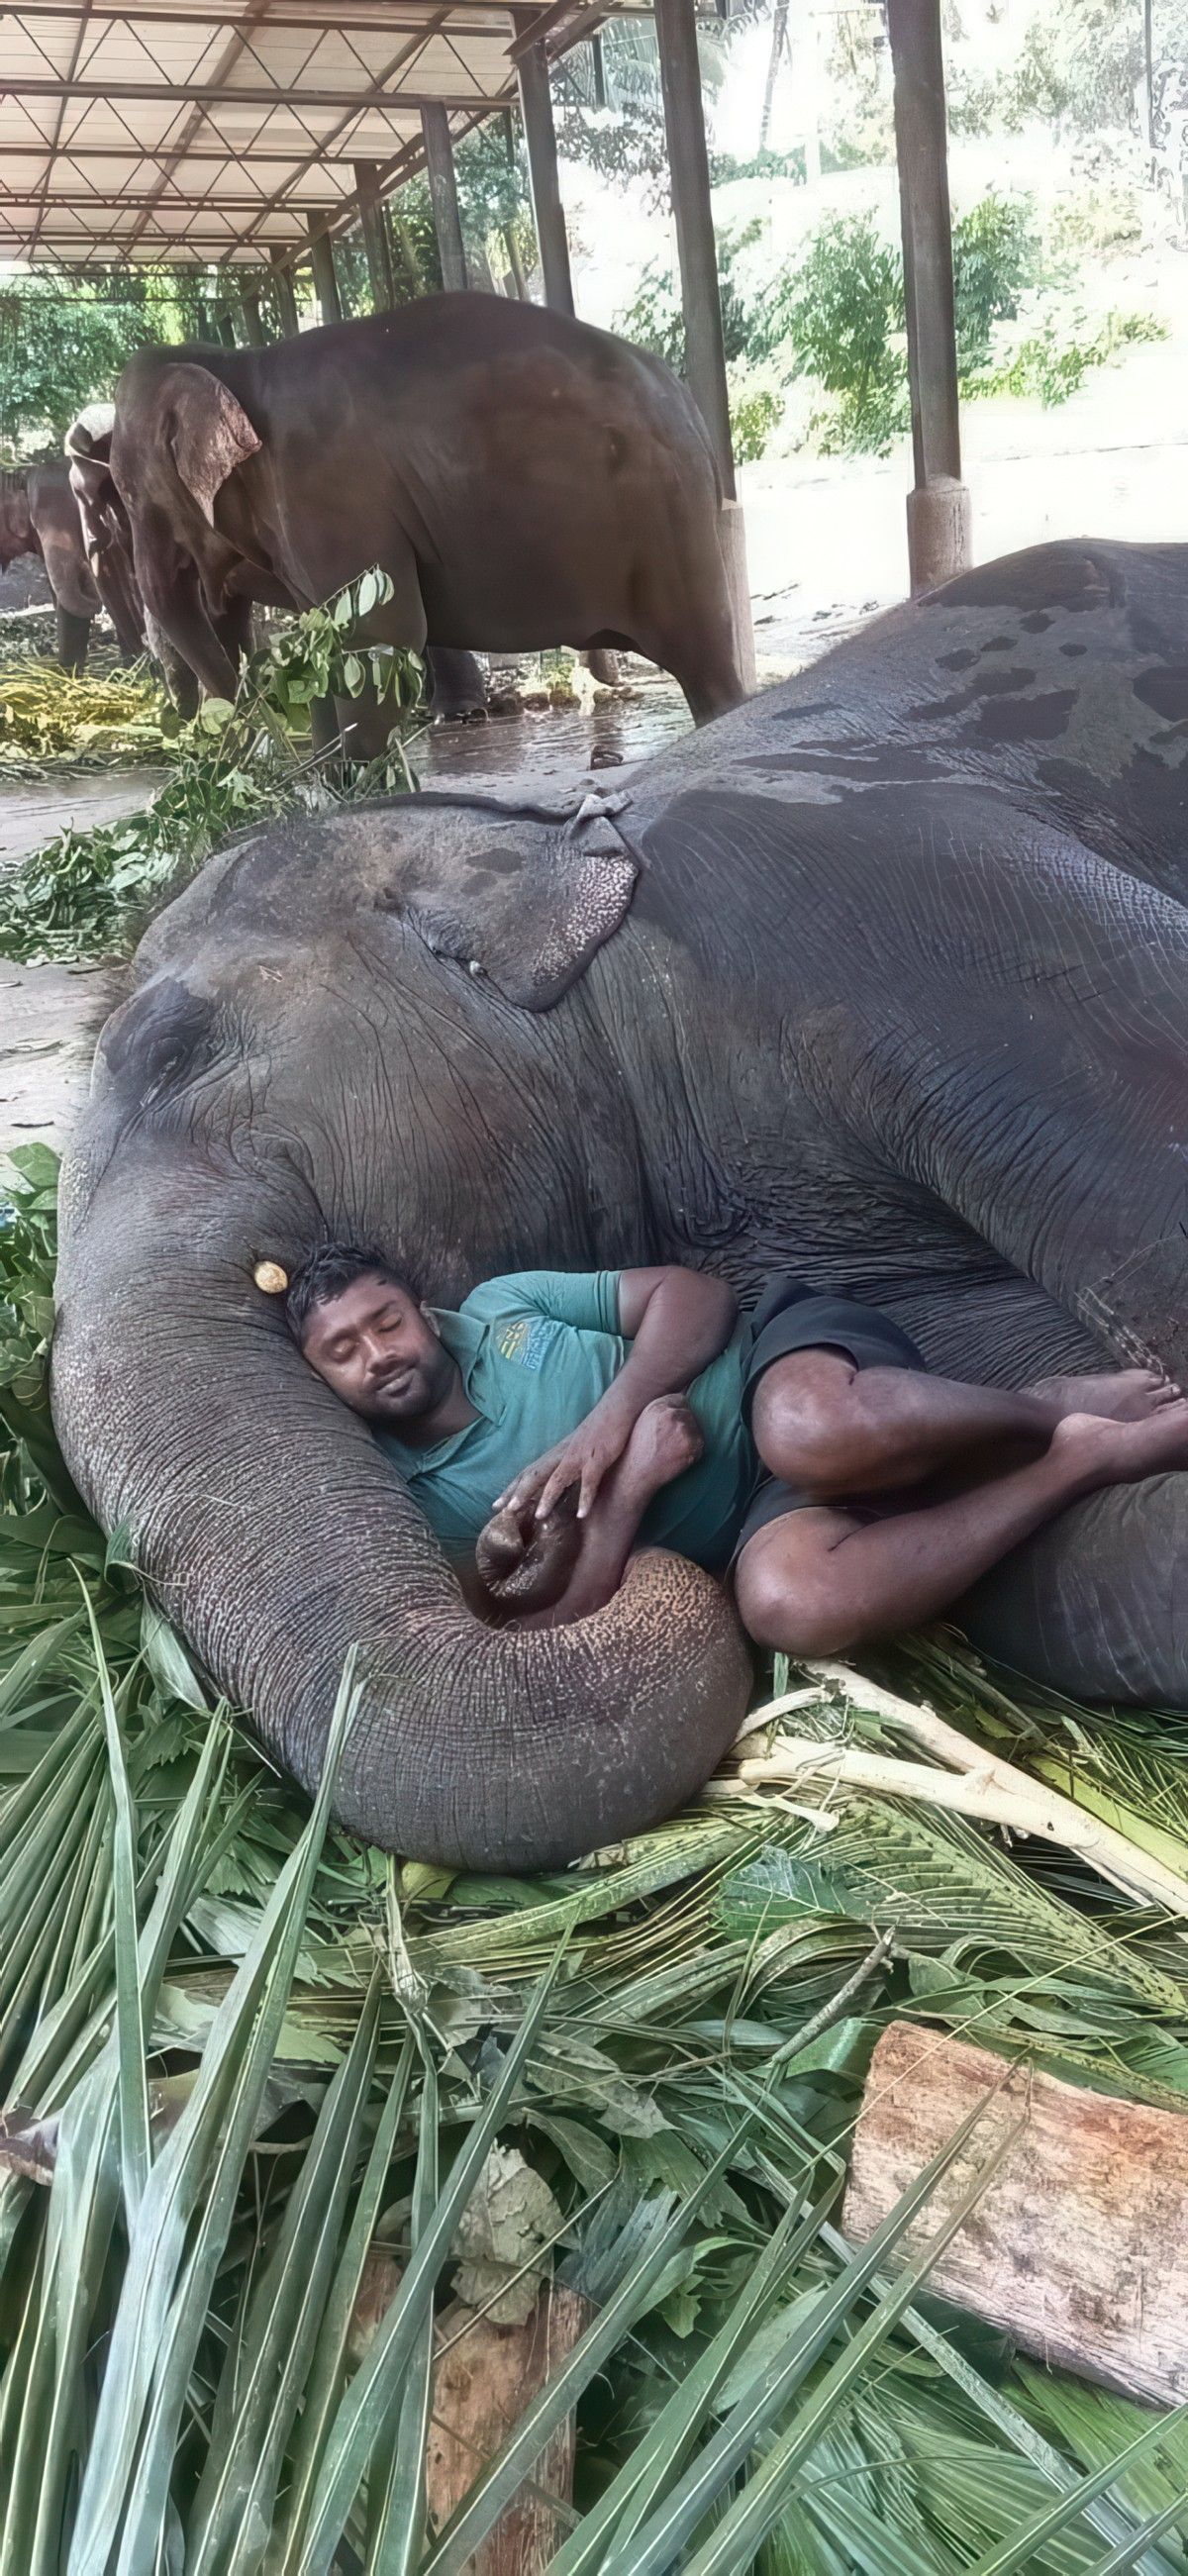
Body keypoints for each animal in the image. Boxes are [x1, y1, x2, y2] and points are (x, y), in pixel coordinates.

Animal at [90, 300, 742, 751]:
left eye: (129, 494)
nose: (240, 728)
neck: (231, 364)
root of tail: (688, 402)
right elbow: (321, 643)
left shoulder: (328, 495)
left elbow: (381, 635)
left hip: (672, 519)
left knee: (705, 665)